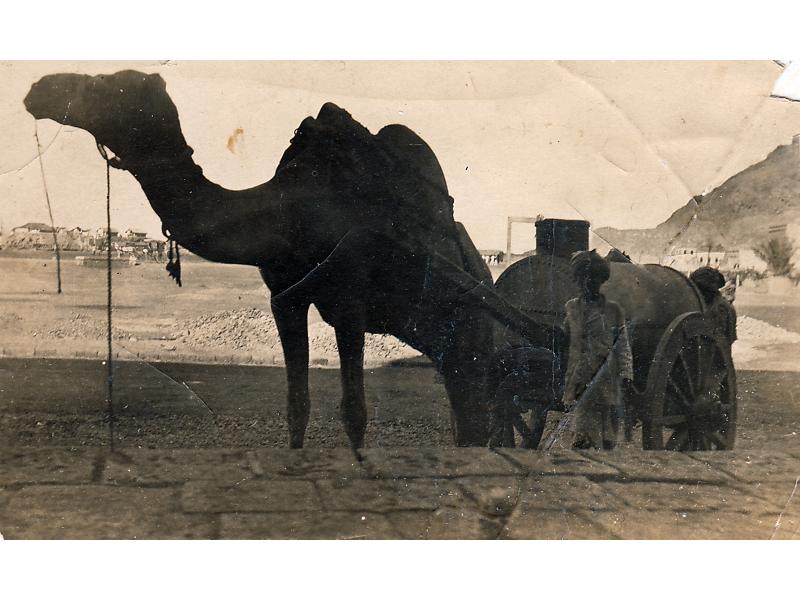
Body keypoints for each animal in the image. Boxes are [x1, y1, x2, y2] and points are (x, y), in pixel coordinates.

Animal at [26, 69, 494, 446]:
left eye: (104, 83)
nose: (38, 88)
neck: (288, 211)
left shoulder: (349, 303)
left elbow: (354, 412)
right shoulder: (285, 298)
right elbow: (297, 405)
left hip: (468, 330)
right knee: (467, 407)